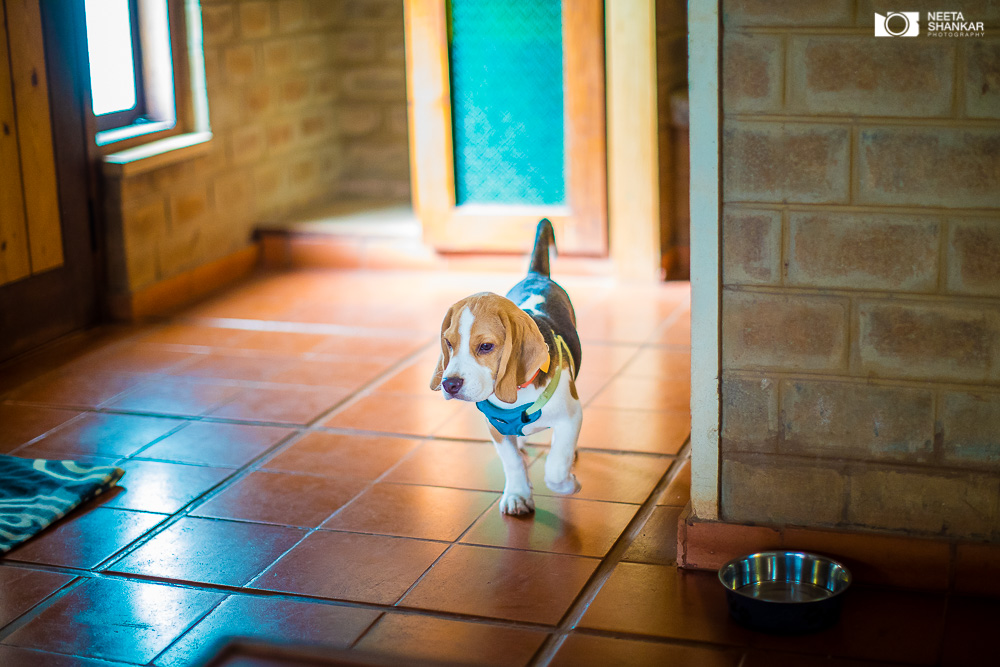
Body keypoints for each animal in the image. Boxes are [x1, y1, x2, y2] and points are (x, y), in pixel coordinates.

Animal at [428, 220, 584, 516]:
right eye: (449, 343)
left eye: (486, 347)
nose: (449, 384)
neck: (519, 392)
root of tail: (536, 275)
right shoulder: (495, 428)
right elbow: (512, 462)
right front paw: (518, 494)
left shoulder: (571, 417)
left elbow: (556, 466)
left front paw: (568, 484)